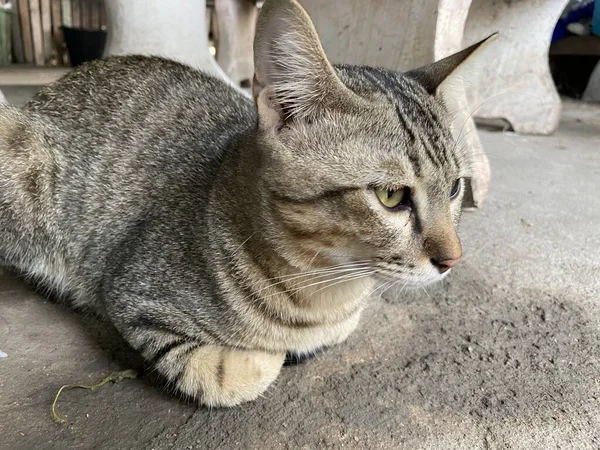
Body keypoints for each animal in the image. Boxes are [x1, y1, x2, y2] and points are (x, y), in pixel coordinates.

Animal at [0, 0, 492, 408]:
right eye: (391, 196)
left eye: (455, 188)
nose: (453, 259)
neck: (324, 293)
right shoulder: (134, 294)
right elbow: (233, 371)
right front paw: (269, 356)